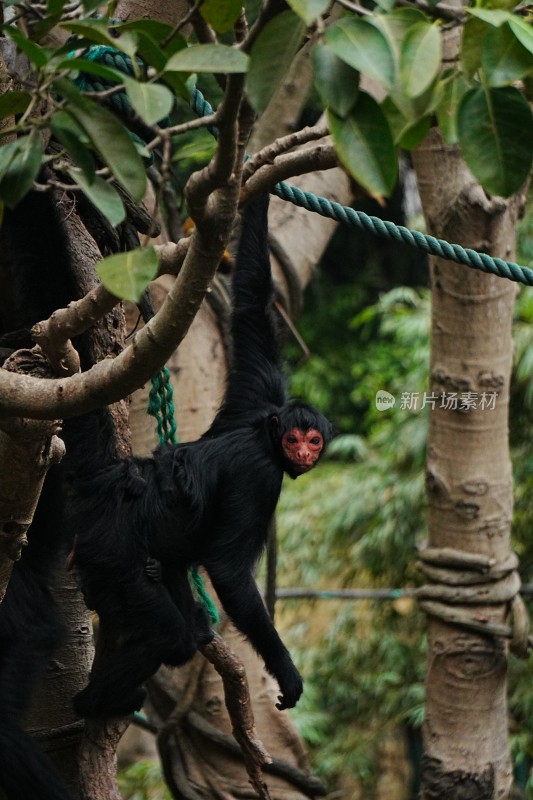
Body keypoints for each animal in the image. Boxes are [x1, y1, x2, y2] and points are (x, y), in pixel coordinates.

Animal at [66, 195, 330, 720]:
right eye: (296, 440)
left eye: (313, 439)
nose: (303, 452)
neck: (264, 435)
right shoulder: (260, 475)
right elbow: (228, 570)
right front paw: (286, 672)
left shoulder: (261, 393)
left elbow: (250, 299)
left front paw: (258, 194)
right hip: (110, 550)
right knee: (169, 637)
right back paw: (92, 703)